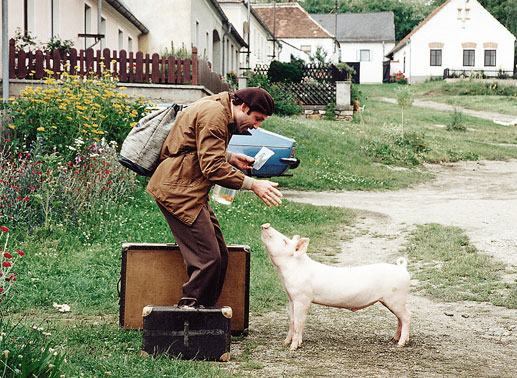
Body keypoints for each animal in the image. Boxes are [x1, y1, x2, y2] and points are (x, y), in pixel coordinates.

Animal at [260, 223, 410, 350]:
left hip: (396, 298)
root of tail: (402, 268)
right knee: (400, 319)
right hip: (392, 301)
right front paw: (285, 343)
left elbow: (298, 323)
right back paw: (393, 339)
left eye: (284, 241)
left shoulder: (303, 299)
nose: (266, 225)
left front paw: (293, 348)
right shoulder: (291, 298)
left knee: (407, 316)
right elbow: (292, 321)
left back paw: (400, 344)